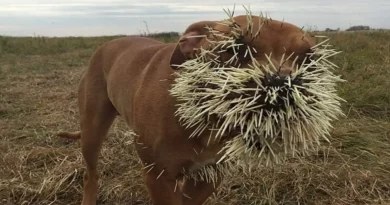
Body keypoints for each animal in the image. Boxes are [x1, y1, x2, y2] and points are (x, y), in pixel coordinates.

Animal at [58, 14, 316, 205]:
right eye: (235, 49)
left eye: (309, 59)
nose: (281, 83)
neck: (205, 119)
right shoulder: (159, 177)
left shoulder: (210, 175)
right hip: (92, 131)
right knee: (90, 173)